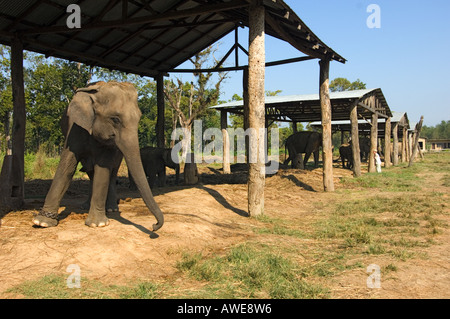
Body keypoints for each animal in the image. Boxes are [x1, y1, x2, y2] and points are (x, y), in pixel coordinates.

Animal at [32, 81, 164, 231]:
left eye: (139, 118)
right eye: (115, 119)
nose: (154, 225)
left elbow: (103, 170)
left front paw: (97, 224)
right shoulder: (75, 128)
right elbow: (67, 167)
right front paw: (42, 222)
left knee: (112, 173)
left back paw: (111, 209)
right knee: (90, 172)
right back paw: (86, 206)